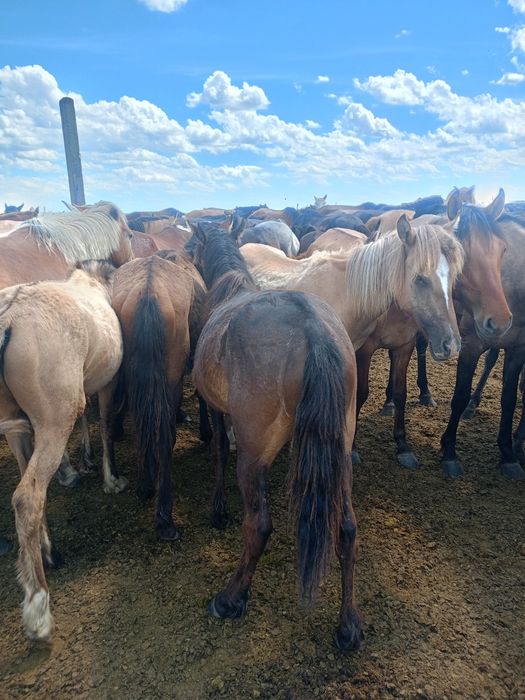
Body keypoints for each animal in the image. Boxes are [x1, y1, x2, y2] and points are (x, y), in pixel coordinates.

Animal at [0, 262, 124, 641]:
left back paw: (45, 549)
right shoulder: (107, 383)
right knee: (27, 497)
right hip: (53, 420)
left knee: (29, 494)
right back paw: (38, 607)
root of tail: (7, 320)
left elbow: (87, 418)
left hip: (19, 427)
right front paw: (110, 478)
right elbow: (105, 424)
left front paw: (85, 459)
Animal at [185, 223, 363, 651]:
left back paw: (231, 598)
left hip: (254, 457)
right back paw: (348, 625)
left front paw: (218, 509)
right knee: (347, 529)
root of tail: (313, 329)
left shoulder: (217, 409)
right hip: (340, 451)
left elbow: (219, 449)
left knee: (259, 526)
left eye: (192, 245)